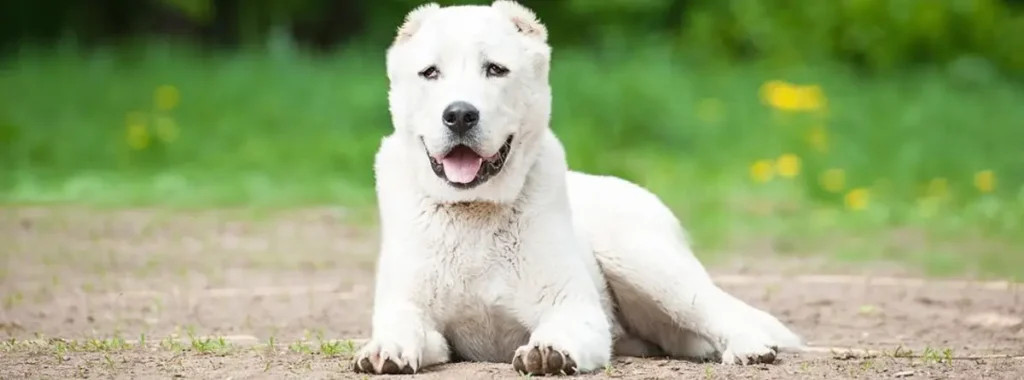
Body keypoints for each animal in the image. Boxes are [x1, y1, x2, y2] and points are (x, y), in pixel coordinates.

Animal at [356, 0, 802, 374]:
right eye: (430, 73)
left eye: (495, 69)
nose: (460, 115)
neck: (474, 214)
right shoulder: (414, 316)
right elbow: (405, 330)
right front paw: (384, 350)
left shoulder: (573, 310)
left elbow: (558, 331)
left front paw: (547, 351)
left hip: (645, 264)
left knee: (719, 311)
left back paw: (750, 347)